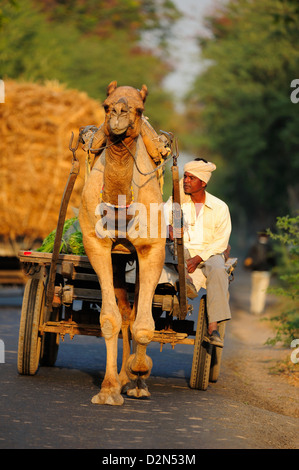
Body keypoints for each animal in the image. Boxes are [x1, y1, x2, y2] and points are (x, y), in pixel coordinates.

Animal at [79, 81, 169, 404]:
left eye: (139, 109)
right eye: (106, 105)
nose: (118, 112)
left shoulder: (151, 248)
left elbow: (145, 325)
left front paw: (139, 373)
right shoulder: (96, 245)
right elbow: (110, 319)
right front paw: (108, 389)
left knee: (139, 308)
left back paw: (135, 380)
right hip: (119, 259)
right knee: (126, 313)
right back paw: (121, 379)